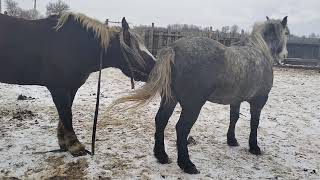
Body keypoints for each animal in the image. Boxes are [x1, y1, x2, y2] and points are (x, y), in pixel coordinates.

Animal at [0, 12, 155, 156]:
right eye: (137, 51)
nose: (155, 67)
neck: (75, 45)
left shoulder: (71, 87)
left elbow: (65, 114)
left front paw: (64, 143)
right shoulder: (58, 88)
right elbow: (66, 114)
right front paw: (75, 146)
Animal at [108, 16, 290, 173]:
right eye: (286, 33)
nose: (285, 55)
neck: (260, 52)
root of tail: (174, 49)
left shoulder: (236, 100)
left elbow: (234, 118)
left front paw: (232, 140)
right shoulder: (259, 101)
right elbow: (254, 123)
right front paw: (254, 147)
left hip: (170, 100)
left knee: (160, 121)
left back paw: (162, 156)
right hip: (193, 106)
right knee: (181, 128)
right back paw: (187, 165)